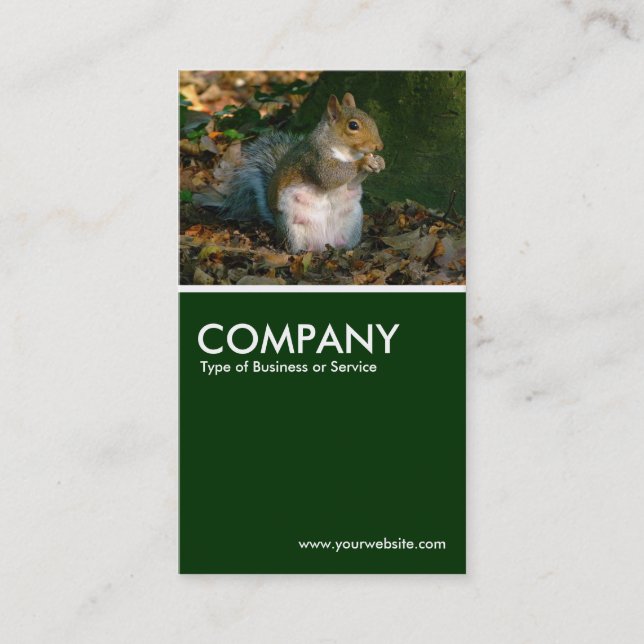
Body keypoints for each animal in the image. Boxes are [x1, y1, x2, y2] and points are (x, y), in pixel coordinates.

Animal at [221, 93, 385, 252]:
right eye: (353, 125)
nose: (379, 146)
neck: (347, 153)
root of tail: (323, 244)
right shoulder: (315, 157)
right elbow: (329, 176)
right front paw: (364, 162)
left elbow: (351, 184)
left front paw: (379, 161)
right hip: (291, 227)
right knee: (292, 247)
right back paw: (301, 252)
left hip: (353, 221)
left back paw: (344, 249)